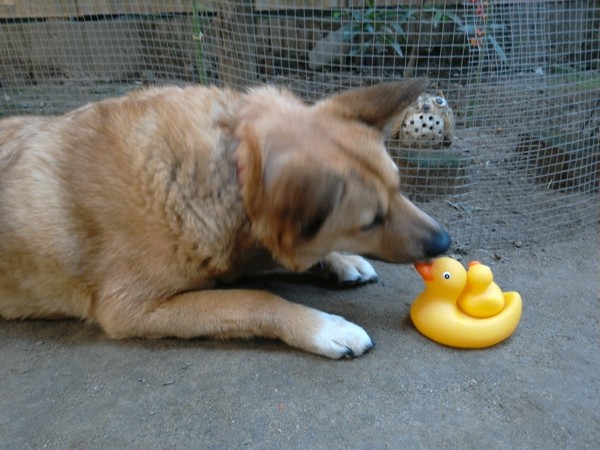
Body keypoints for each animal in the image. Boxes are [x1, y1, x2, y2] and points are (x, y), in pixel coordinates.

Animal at [0, 78, 450, 358]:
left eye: (398, 187)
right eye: (371, 221)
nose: (445, 243)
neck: (227, 171)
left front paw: (339, 260)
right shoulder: (130, 309)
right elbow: (254, 299)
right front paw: (324, 328)